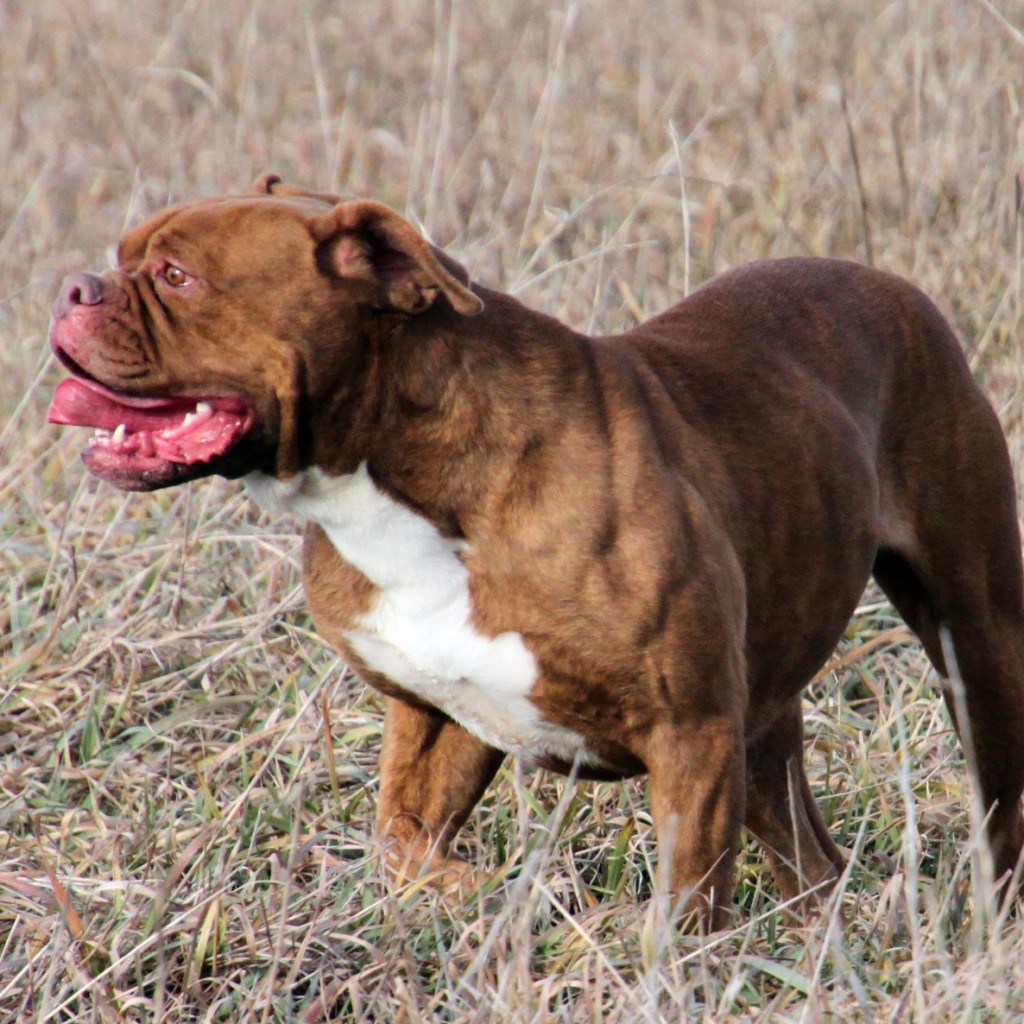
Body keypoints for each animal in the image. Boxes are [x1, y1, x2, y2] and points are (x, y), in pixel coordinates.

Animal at [46, 174, 1024, 929]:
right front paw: (490, 893)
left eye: (177, 277)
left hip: (974, 644)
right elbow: (402, 844)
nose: (73, 286)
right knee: (809, 858)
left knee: (997, 802)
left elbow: (684, 912)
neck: (400, 475)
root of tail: (893, 286)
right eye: (128, 258)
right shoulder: (436, 713)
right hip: (763, 720)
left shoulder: (691, 735)